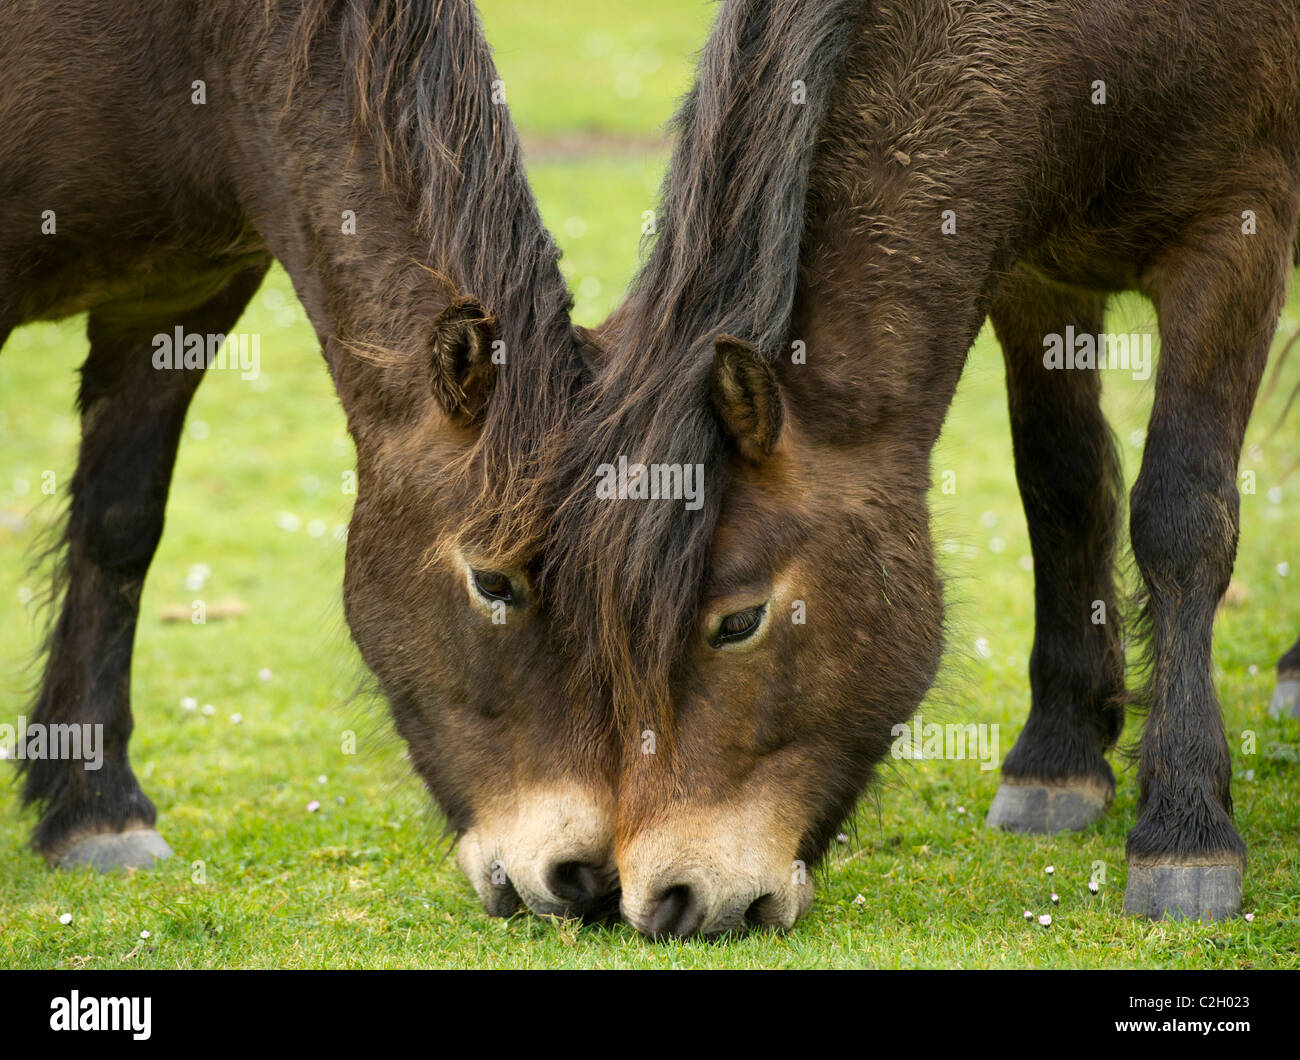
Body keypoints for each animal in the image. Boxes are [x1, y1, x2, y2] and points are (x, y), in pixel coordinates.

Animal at [0, 0, 618, 920]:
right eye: (492, 582)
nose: (584, 878)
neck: (195, 47)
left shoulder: (175, 301)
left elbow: (119, 530)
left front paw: (95, 809)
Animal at [530, 0, 1300, 931]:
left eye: (738, 622)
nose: (669, 900)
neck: (1098, 52)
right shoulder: (1034, 276)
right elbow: (1062, 487)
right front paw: (1058, 755)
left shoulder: (1236, 240)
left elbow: (1181, 518)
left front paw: (1186, 827)